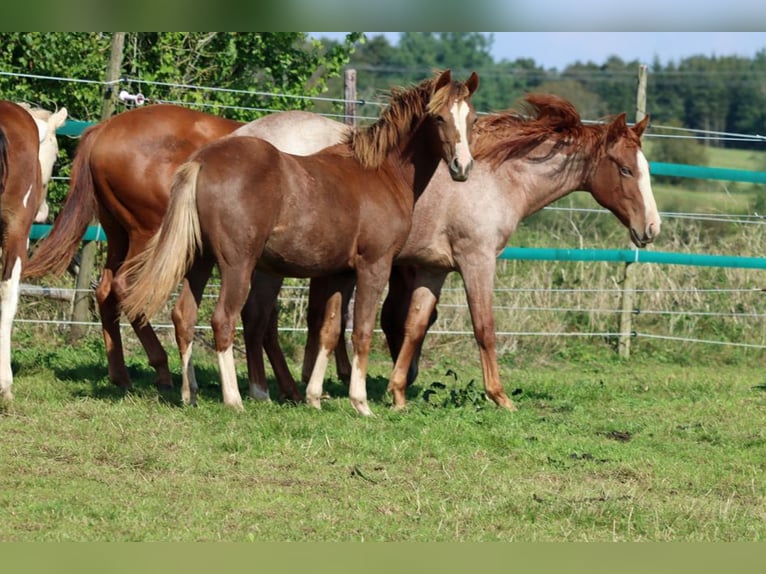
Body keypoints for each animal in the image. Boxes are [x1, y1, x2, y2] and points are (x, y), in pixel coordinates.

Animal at [22, 103, 350, 402]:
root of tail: (104, 128)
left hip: (118, 236)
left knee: (105, 291)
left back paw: (122, 375)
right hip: (148, 237)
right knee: (126, 287)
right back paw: (163, 368)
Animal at [120, 70, 480, 416]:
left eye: (472, 118)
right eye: (438, 117)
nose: (462, 167)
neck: (380, 174)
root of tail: (202, 162)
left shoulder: (341, 274)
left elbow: (329, 331)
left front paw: (315, 397)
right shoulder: (374, 266)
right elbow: (362, 331)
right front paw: (361, 403)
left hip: (200, 260)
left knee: (184, 316)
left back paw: (190, 394)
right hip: (238, 264)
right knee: (224, 319)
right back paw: (234, 400)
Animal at [298, 93, 660, 410]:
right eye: (626, 169)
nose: (652, 228)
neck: (495, 179)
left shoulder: (433, 268)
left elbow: (415, 324)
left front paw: (397, 393)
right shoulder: (478, 262)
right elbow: (484, 327)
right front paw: (499, 396)